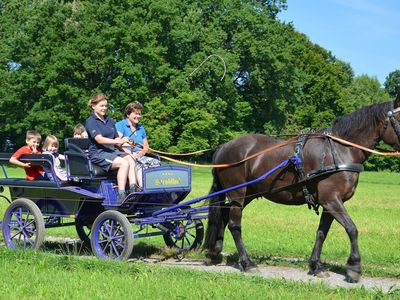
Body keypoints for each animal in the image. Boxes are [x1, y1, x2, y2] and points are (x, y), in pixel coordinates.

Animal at [205, 95, 400, 282]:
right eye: (398, 118)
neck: (339, 150)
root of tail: (224, 146)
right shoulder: (331, 200)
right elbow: (352, 229)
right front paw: (354, 267)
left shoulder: (330, 203)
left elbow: (322, 233)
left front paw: (316, 266)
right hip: (237, 193)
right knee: (234, 225)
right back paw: (247, 263)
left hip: (248, 194)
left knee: (223, 216)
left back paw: (214, 253)